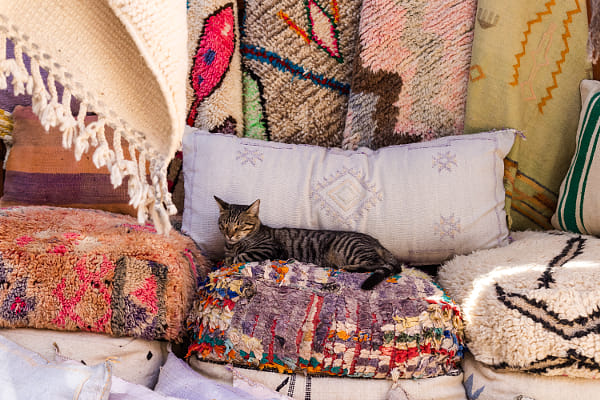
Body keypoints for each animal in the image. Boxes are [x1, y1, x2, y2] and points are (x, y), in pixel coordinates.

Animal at [213, 195, 406, 290]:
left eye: (239, 225)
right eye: (224, 225)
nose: (229, 234)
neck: (233, 245)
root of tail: (376, 242)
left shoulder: (267, 249)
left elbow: (238, 257)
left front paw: (229, 259)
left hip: (350, 250)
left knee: (377, 263)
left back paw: (348, 268)